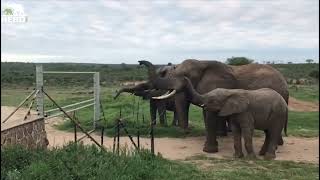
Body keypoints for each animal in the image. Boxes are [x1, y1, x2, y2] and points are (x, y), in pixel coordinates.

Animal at [139, 59, 288, 153]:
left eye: (185, 76)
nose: (139, 62)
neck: (202, 62)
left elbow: (209, 114)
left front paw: (209, 150)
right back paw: (278, 145)